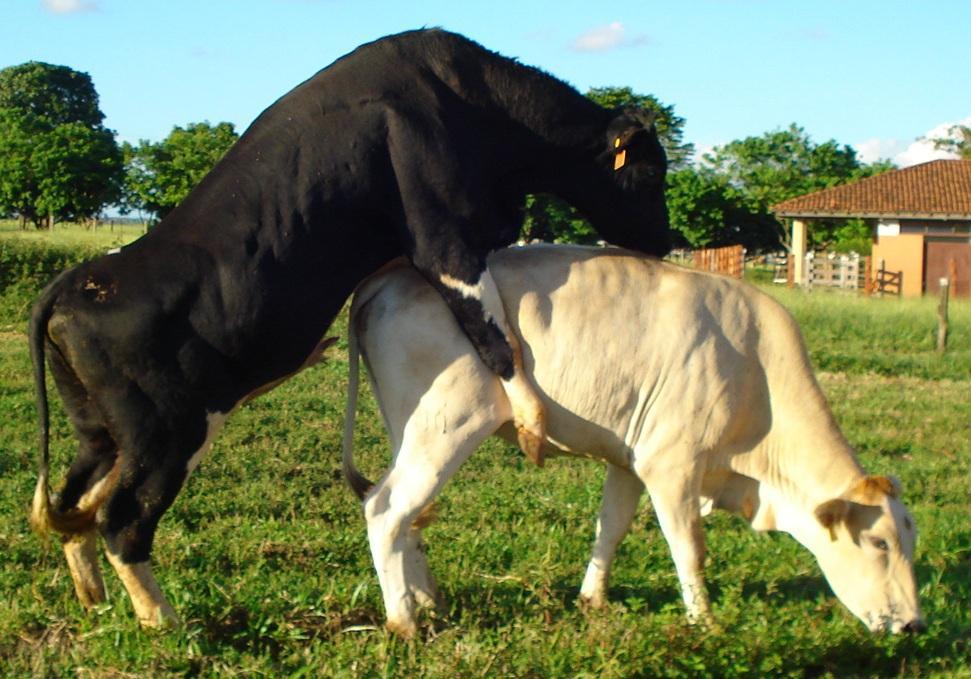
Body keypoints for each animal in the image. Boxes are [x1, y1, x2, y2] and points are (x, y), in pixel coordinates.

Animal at [28, 30, 668, 628]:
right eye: (650, 172)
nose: (667, 242)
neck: (473, 100)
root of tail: (81, 279)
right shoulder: (444, 237)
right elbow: (494, 336)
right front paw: (533, 420)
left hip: (98, 429)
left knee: (72, 504)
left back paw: (93, 599)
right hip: (166, 433)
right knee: (121, 519)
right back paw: (165, 621)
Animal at [344, 243, 928, 636]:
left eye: (911, 541)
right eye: (879, 543)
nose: (915, 626)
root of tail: (389, 275)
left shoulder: (627, 461)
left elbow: (612, 528)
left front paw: (592, 600)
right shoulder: (672, 466)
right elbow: (690, 547)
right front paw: (705, 622)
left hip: (411, 429)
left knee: (409, 515)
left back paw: (428, 600)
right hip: (448, 424)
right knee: (385, 509)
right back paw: (404, 621)